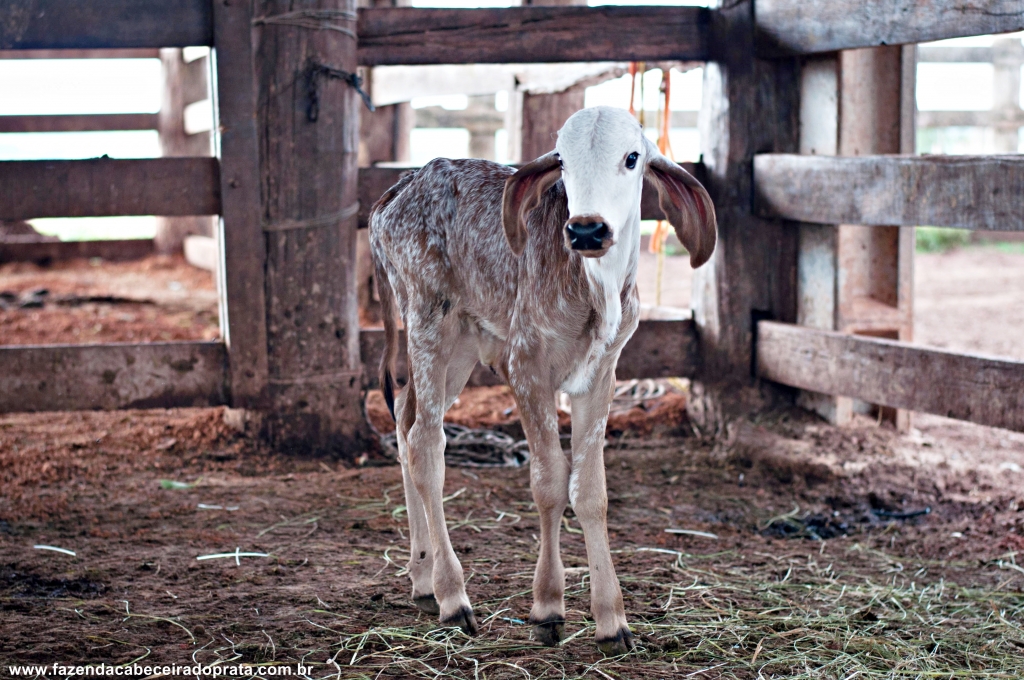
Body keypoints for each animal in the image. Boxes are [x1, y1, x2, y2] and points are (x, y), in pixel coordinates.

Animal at [372, 106, 716, 655]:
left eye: (632, 157)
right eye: (562, 161)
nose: (587, 230)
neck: (596, 291)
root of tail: (400, 187)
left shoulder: (602, 375)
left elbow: (591, 491)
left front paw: (611, 619)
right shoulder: (526, 367)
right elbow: (550, 482)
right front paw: (548, 607)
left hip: (461, 347)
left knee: (405, 425)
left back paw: (422, 579)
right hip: (428, 321)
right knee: (426, 443)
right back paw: (452, 596)